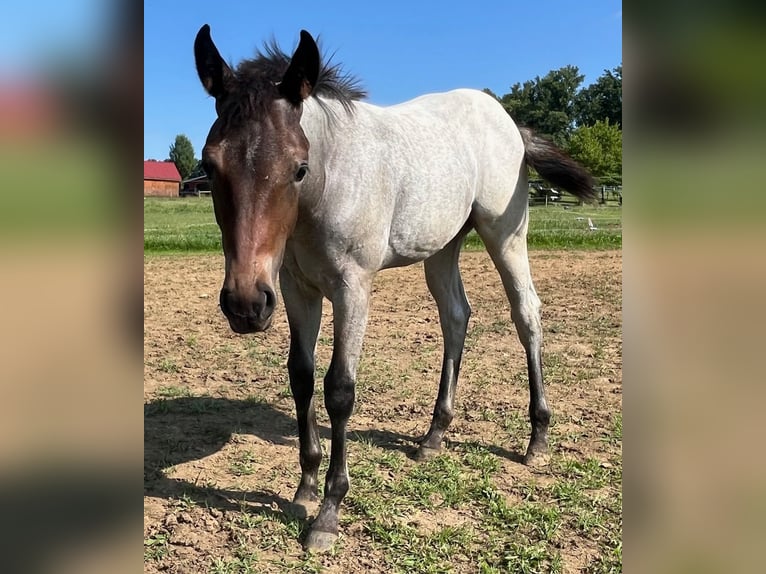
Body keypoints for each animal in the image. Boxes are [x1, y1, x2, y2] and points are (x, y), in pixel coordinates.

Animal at [193, 25, 595, 552]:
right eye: (210, 163)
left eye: (298, 167)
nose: (244, 304)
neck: (330, 180)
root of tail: (507, 119)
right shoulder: (294, 287)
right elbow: (301, 376)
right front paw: (304, 488)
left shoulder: (352, 287)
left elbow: (339, 388)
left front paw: (327, 514)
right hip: (442, 247)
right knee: (456, 317)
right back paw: (433, 436)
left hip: (506, 234)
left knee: (526, 313)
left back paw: (537, 440)